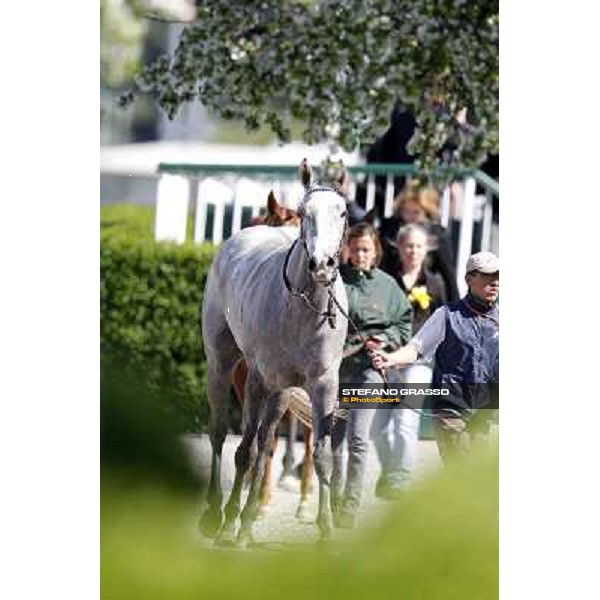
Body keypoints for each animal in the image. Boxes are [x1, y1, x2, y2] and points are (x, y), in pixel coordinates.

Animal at [200, 161, 346, 544]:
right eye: (304, 212)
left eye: (342, 212)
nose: (322, 265)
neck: (303, 309)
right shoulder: (257, 379)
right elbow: (246, 451)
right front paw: (228, 526)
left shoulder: (322, 385)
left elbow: (319, 455)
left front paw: (327, 531)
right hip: (222, 365)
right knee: (221, 432)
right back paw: (215, 513)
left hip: (281, 391)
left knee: (266, 441)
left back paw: (248, 520)